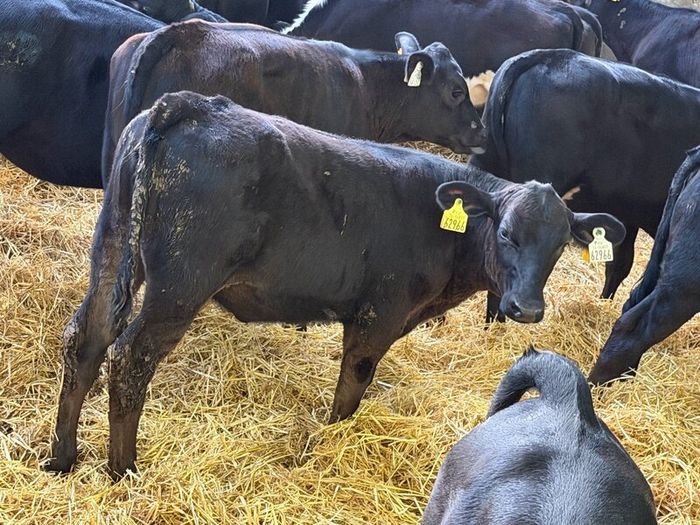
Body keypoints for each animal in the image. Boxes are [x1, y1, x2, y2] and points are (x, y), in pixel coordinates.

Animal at [46, 91, 625, 478]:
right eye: (506, 233)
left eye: (559, 246)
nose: (527, 309)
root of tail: (189, 104)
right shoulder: (377, 315)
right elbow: (352, 388)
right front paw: (328, 443)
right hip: (180, 284)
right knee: (129, 357)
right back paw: (122, 470)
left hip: (112, 249)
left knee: (86, 339)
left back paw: (62, 457)